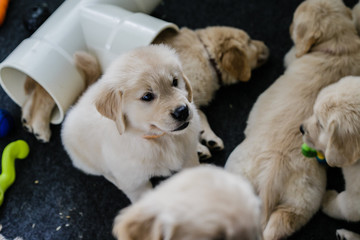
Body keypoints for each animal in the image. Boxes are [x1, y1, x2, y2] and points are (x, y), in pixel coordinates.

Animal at [62, 45, 202, 202]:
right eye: (147, 96)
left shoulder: (189, 158)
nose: (182, 111)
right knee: (103, 172)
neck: (160, 138)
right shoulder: (136, 184)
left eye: (175, 82)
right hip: (85, 161)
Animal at [153, 26, 268, 158]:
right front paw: (198, 148)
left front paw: (210, 137)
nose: (266, 46)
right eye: (249, 42)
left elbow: (200, 114)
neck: (208, 56)